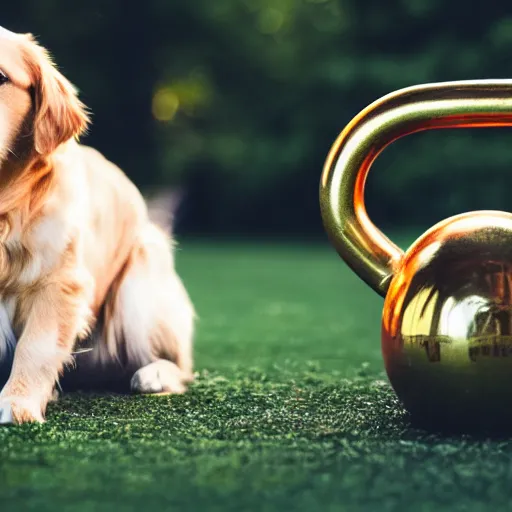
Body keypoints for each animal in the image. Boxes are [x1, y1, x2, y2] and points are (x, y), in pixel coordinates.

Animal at [0, 27, 196, 424]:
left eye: (0, 77)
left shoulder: (61, 281)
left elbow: (36, 347)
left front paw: (18, 402)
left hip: (139, 285)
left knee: (179, 365)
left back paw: (154, 374)